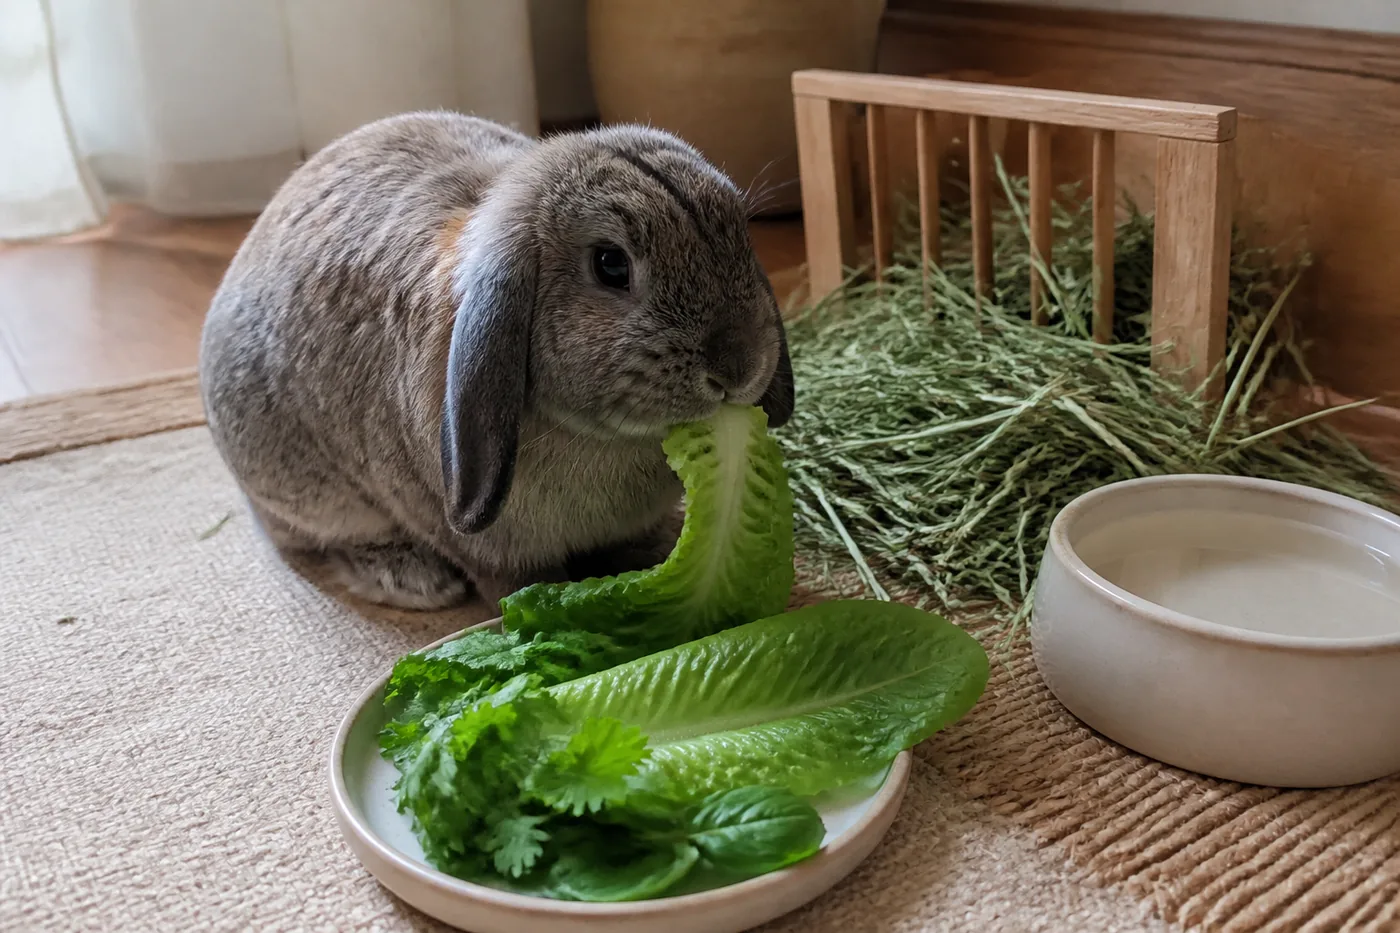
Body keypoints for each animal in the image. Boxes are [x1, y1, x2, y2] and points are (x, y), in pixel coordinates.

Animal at [198, 111, 794, 611]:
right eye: (610, 264)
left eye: (740, 234)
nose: (739, 368)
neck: (596, 436)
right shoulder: (473, 537)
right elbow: (507, 580)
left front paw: (656, 554)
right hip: (315, 499)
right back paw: (413, 581)